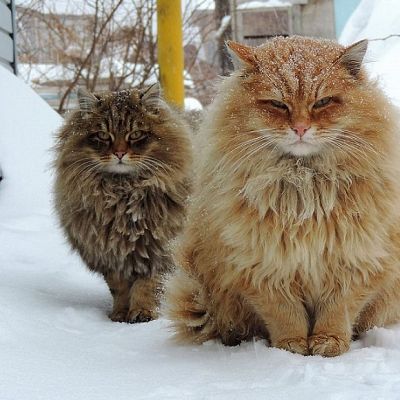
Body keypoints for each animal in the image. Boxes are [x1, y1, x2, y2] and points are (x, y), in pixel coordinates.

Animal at [55, 83, 192, 322]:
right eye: (103, 135)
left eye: (136, 134)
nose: (119, 153)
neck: (122, 192)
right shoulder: (111, 256)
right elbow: (119, 289)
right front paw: (119, 314)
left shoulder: (159, 251)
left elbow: (148, 286)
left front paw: (143, 313)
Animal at [164, 36, 400, 356]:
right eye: (277, 104)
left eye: (323, 102)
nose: (300, 128)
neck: (304, 185)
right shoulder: (262, 269)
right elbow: (285, 315)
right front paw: (292, 347)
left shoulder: (355, 263)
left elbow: (337, 312)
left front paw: (328, 343)